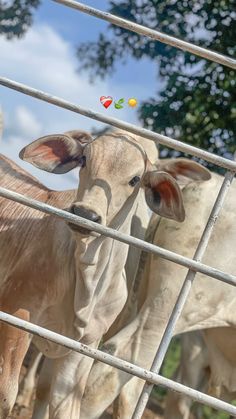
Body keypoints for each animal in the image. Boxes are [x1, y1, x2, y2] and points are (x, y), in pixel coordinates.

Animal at [0, 130, 195, 418]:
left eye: (135, 180)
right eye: (84, 160)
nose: (85, 214)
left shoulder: (83, 347)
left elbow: (63, 405)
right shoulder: (17, 311)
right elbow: (6, 394)